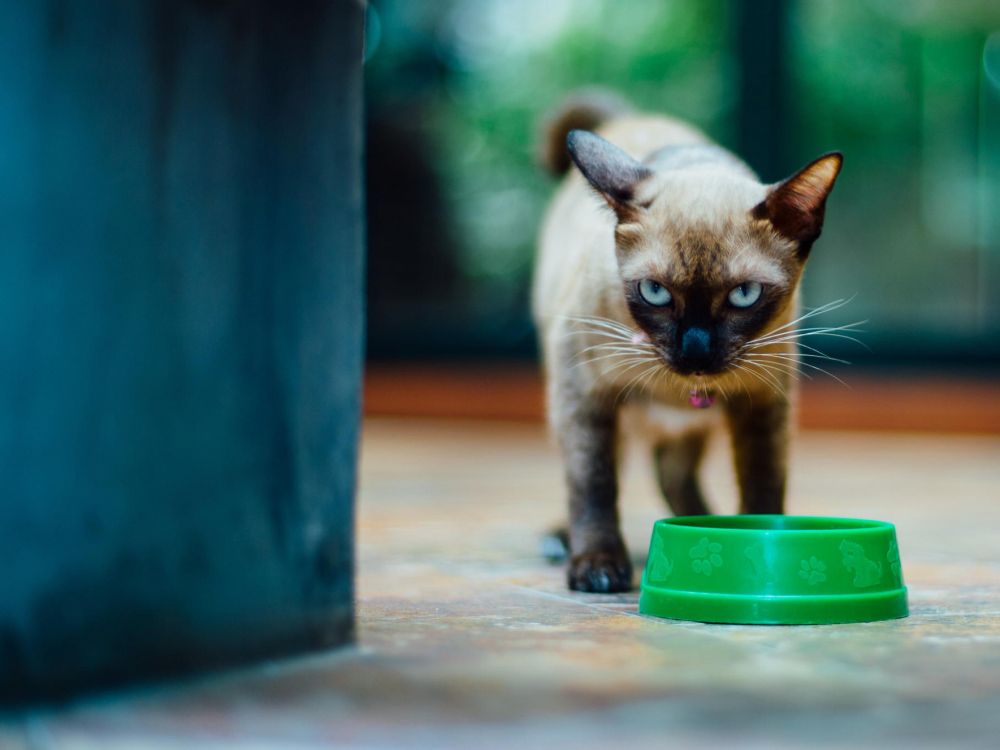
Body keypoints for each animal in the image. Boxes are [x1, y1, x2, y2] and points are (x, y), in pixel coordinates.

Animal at [536, 92, 840, 592]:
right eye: (655, 292)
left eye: (744, 295)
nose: (695, 350)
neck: (677, 388)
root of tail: (632, 115)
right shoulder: (583, 393)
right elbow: (593, 484)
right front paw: (598, 566)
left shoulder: (763, 403)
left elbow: (763, 485)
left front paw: (752, 551)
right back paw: (567, 540)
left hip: (694, 426)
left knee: (672, 472)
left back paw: (703, 530)